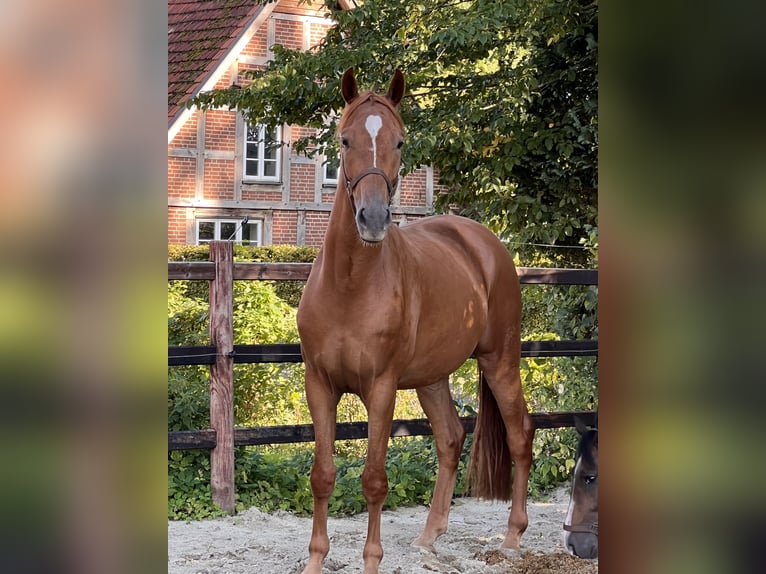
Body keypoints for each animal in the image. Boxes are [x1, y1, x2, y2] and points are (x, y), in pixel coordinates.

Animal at [296, 70, 536, 574]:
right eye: (344, 140)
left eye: (400, 141)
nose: (372, 219)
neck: (350, 285)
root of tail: (485, 242)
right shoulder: (319, 385)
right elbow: (322, 475)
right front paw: (315, 561)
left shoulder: (382, 388)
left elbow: (374, 480)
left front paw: (371, 562)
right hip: (431, 377)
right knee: (450, 438)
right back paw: (429, 537)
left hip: (500, 359)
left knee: (520, 434)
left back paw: (511, 537)